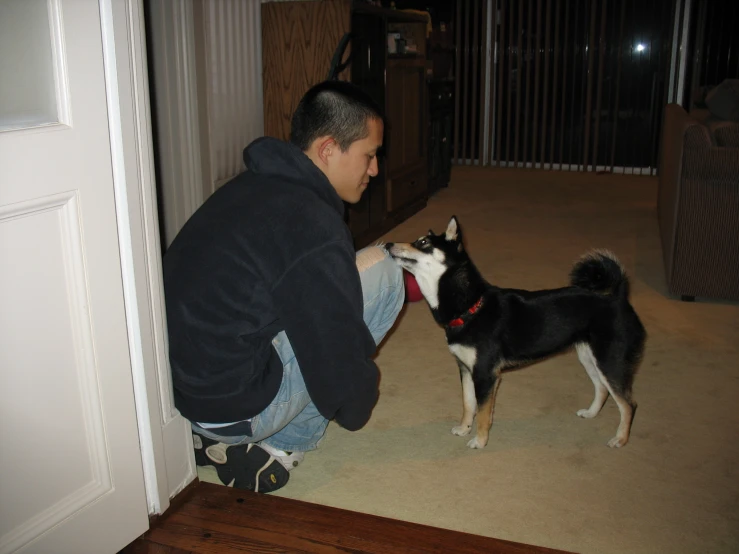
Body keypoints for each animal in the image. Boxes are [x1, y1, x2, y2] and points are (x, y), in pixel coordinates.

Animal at [388, 216, 648, 448]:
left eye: (423, 242)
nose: (389, 244)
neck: (472, 307)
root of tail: (618, 297)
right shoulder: (466, 369)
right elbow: (469, 404)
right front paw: (464, 428)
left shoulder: (485, 374)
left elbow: (482, 412)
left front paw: (480, 441)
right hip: (589, 357)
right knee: (602, 389)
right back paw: (591, 413)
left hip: (610, 361)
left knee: (628, 404)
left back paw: (620, 439)